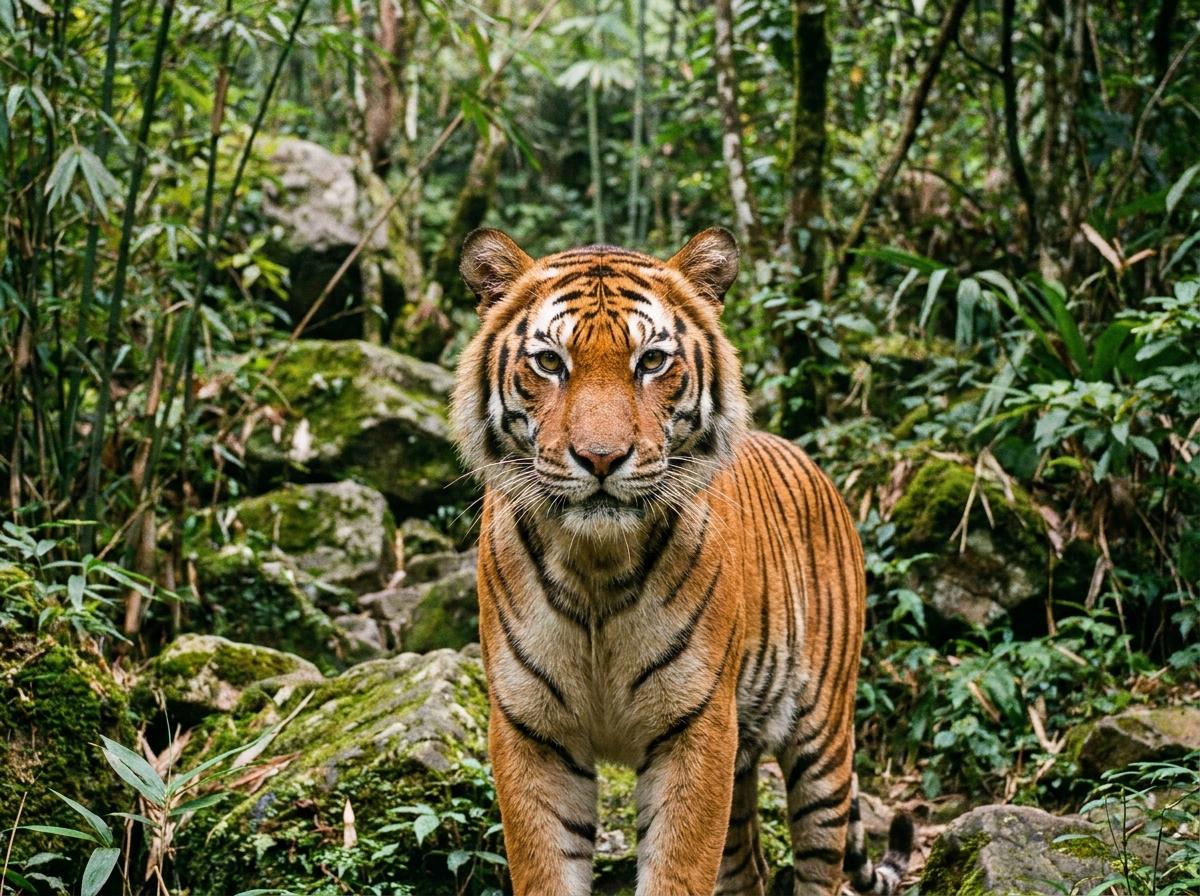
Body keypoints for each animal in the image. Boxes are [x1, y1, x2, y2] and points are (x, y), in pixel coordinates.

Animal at [450, 226, 913, 896]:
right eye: (549, 363)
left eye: (651, 362)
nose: (600, 457)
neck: (595, 567)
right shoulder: (532, 732)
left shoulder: (696, 729)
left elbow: (678, 869)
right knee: (747, 868)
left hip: (823, 743)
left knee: (819, 863)